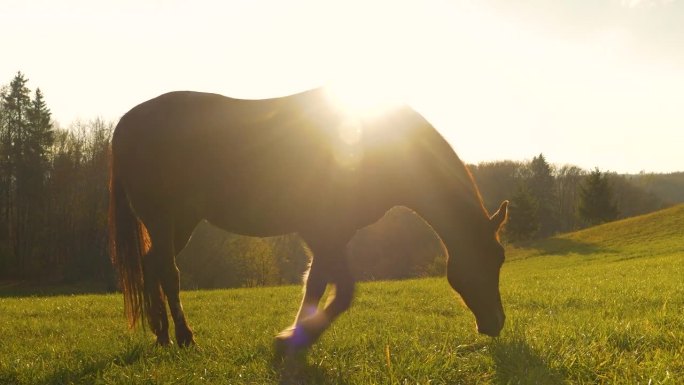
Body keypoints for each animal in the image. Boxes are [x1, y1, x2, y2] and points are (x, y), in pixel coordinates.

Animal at [108, 86, 508, 348]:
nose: (496, 323)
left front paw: (297, 333)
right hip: (163, 218)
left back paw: (161, 333)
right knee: (168, 272)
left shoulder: (333, 233)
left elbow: (318, 282)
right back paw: (183, 336)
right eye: (492, 258)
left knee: (152, 265)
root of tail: (125, 123)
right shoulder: (322, 230)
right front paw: (297, 335)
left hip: (182, 222)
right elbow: (341, 290)